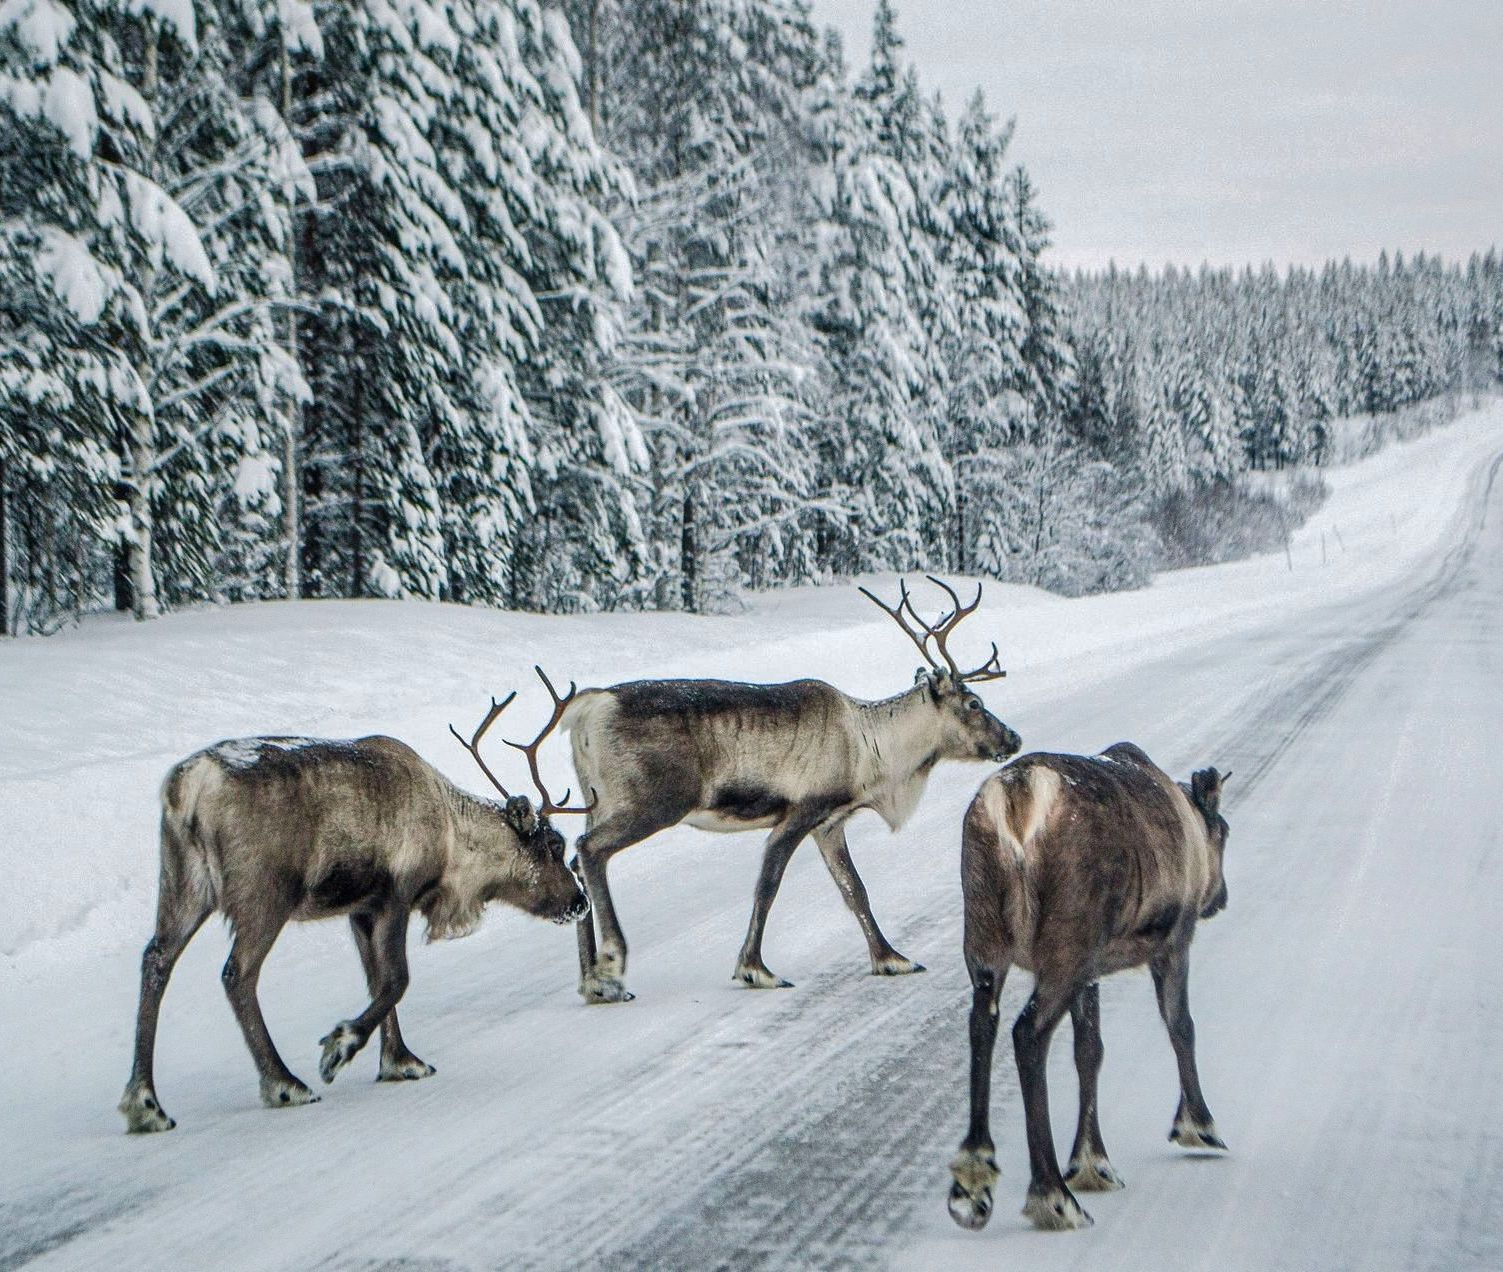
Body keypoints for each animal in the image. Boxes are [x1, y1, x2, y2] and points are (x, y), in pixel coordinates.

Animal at [118, 693, 591, 1134]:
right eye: (554, 846)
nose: (580, 902)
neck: (451, 843)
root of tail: (188, 788)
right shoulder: (395, 895)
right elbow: (398, 979)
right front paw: (340, 1047)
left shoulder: (360, 909)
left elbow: (378, 980)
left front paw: (400, 1061)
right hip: (263, 893)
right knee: (237, 973)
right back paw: (285, 1083)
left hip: (184, 882)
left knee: (156, 959)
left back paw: (146, 1104)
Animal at [555, 577, 1023, 1004]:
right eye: (974, 704)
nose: (1014, 738)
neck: (871, 750)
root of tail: (588, 708)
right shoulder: (800, 813)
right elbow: (768, 885)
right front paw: (756, 969)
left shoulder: (830, 824)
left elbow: (855, 890)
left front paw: (893, 959)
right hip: (652, 803)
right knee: (590, 849)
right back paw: (611, 969)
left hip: (598, 801)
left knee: (577, 861)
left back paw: (591, 981)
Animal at [946, 745, 1231, 1233]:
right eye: (1226, 832)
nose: (1221, 898)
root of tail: (1017, 798)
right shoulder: (1174, 941)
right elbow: (1181, 1025)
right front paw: (1199, 1126)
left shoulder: (1092, 970)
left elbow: (1089, 1052)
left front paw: (1092, 1164)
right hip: (1067, 944)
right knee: (1028, 1034)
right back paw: (1052, 1195)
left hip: (985, 937)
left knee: (983, 1024)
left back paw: (975, 1176)